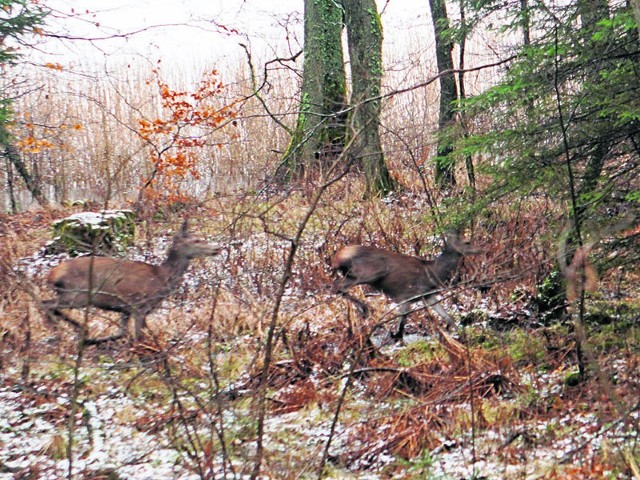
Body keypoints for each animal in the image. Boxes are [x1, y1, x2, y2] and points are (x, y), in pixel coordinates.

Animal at [43, 219, 220, 344]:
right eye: (196, 240)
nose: (217, 248)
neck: (162, 278)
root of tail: (52, 274)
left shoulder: (125, 309)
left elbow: (122, 333)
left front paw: (91, 341)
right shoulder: (139, 305)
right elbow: (138, 337)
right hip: (76, 293)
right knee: (48, 304)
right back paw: (63, 328)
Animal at [332, 234, 478, 340]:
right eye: (467, 242)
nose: (480, 248)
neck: (433, 272)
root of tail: (337, 256)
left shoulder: (428, 295)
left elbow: (448, 317)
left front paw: (463, 338)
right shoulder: (406, 295)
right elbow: (401, 327)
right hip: (369, 271)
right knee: (337, 285)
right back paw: (366, 308)